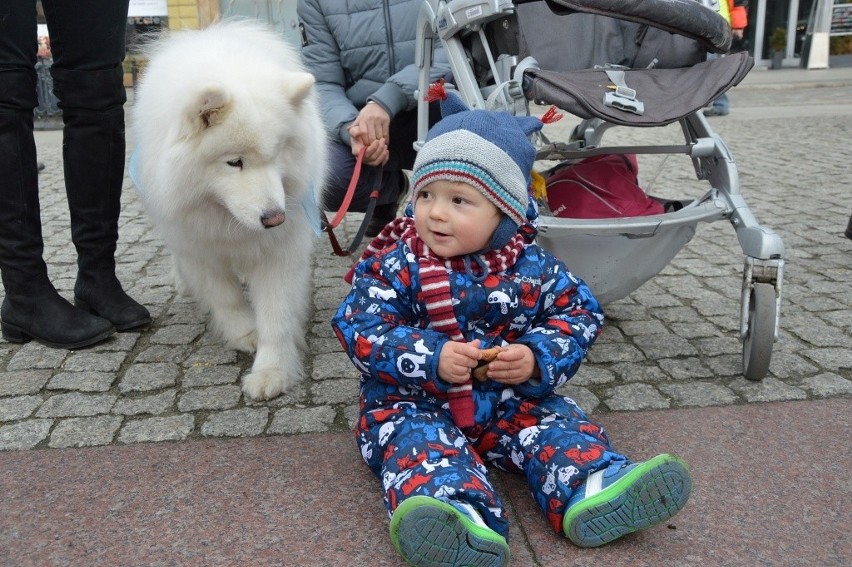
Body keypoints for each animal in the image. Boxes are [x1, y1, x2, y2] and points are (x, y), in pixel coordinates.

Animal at [132, 22, 326, 402]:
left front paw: (271, 372)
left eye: (277, 155)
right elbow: (225, 298)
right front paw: (245, 333)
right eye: (234, 162)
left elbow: (277, 315)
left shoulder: (280, 250)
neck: (227, 220)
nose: (274, 218)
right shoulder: (197, 246)